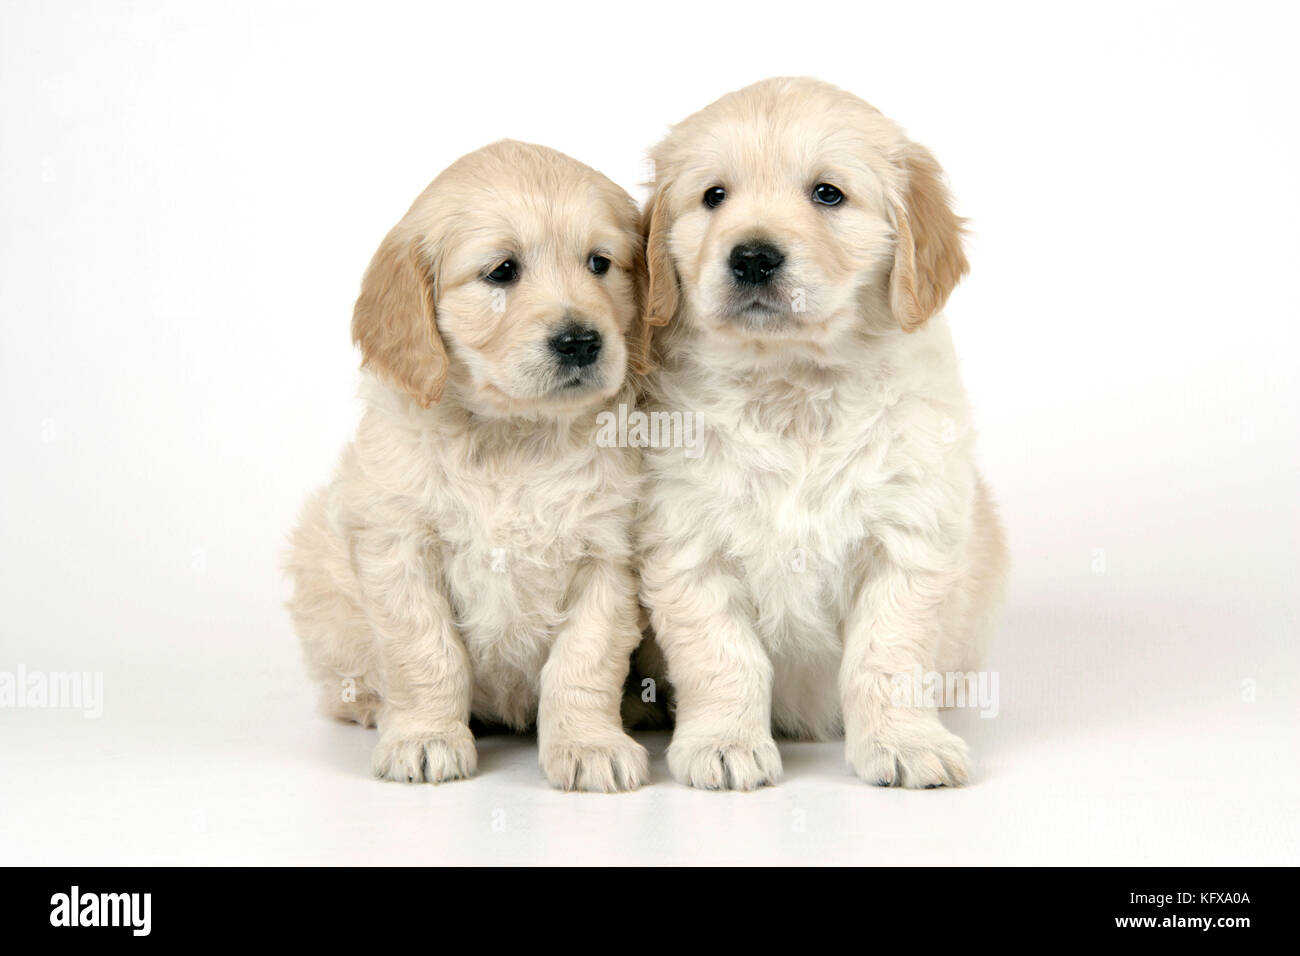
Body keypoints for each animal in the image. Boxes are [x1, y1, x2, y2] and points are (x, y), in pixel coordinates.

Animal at [286, 140, 650, 790]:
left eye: (599, 263)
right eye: (502, 270)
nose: (582, 340)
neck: (511, 437)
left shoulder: (609, 554)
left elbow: (584, 662)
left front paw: (590, 744)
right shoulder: (399, 544)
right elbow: (425, 653)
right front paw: (425, 736)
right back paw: (370, 705)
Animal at [634, 78, 1008, 790]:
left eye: (828, 194)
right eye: (714, 196)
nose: (752, 256)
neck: (793, 388)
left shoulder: (907, 539)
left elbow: (887, 655)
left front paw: (904, 742)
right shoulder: (689, 543)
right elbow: (722, 656)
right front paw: (724, 742)